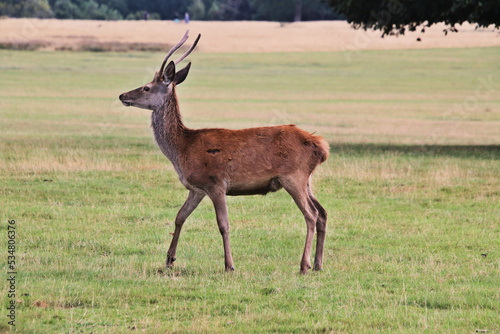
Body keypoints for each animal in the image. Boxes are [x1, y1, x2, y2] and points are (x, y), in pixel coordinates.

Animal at [117, 30, 328, 272]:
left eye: (146, 87)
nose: (123, 95)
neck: (181, 149)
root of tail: (321, 146)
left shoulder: (216, 182)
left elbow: (223, 224)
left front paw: (229, 265)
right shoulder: (196, 188)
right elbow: (179, 217)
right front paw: (169, 260)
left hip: (294, 176)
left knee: (311, 215)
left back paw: (304, 265)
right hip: (307, 180)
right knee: (323, 213)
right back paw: (319, 264)